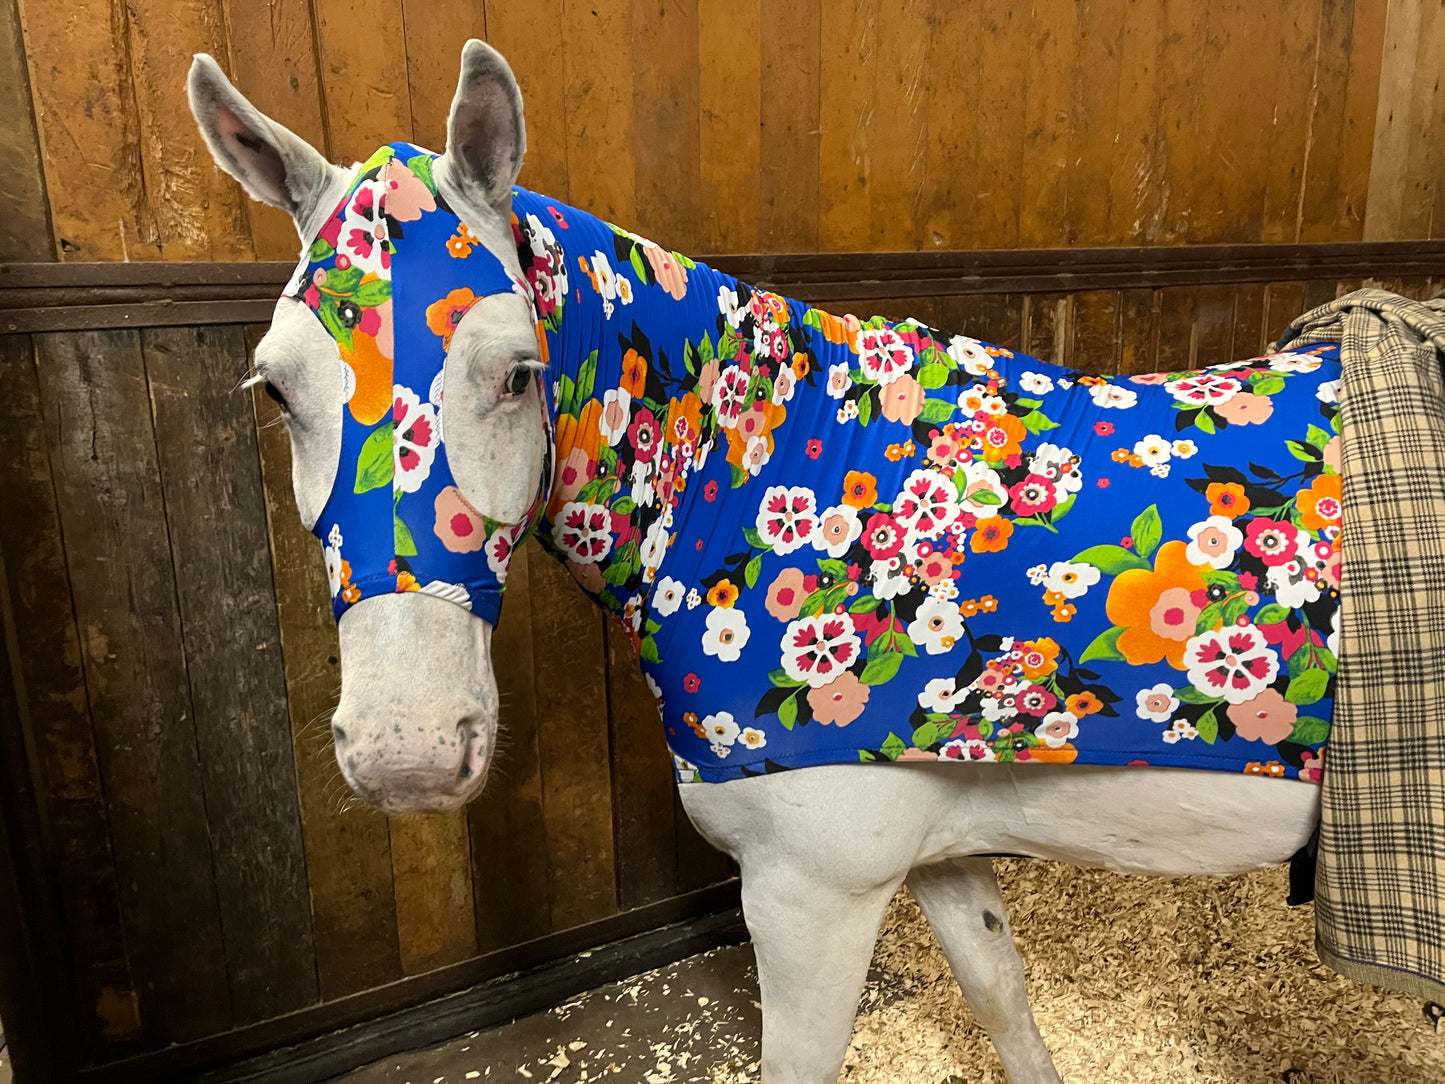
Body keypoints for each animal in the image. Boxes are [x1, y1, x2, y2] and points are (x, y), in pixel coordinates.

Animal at [188, 40, 1332, 1084]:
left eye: (516, 374)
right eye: (276, 388)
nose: (408, 754)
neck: (789, 483)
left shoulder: (810, 895)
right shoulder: (938, 855)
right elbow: (1002, 996)